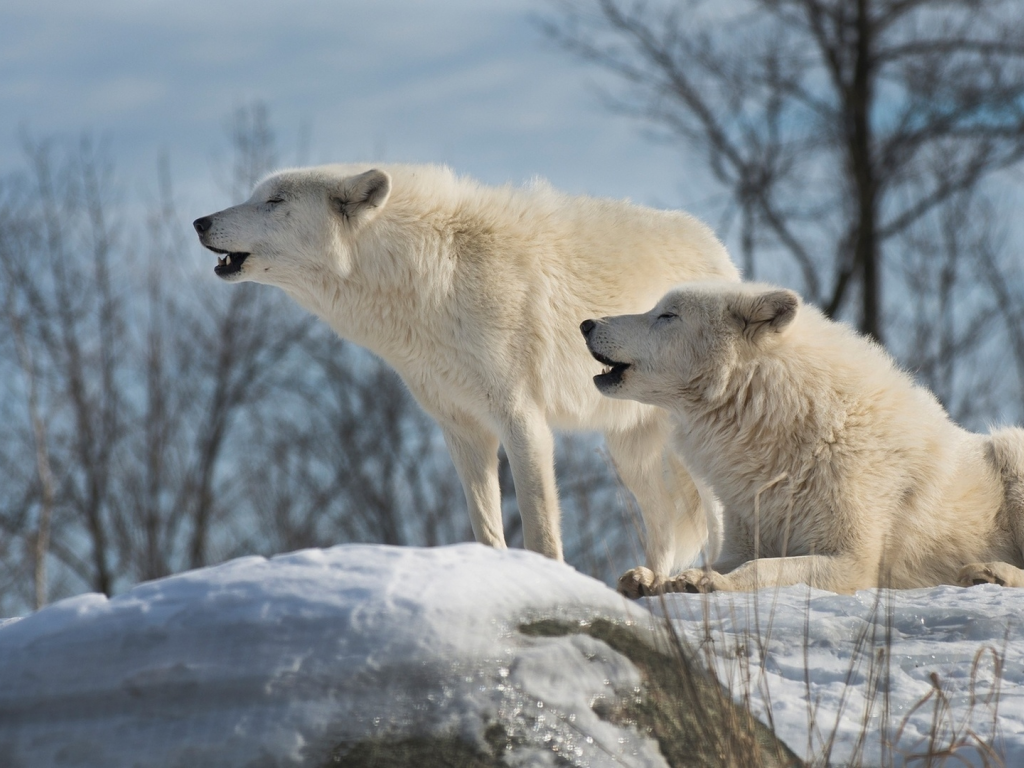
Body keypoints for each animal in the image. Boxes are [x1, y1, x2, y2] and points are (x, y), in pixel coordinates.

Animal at [190, 163, 737, 589]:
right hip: (629, 450)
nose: (199, 221)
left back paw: (706, 579)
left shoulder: (521, 417)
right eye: (256, 197)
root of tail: (717, 248)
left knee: (714, 513)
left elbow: (540, 528)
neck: (432, 278)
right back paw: (652, 581)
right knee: (664, 520)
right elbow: (487, 527)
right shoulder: (462, 428)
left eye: (273, 201)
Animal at [581, 280, 1024, 593]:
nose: (586, 324)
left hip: (1012, 455)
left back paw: (990, 573)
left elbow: (763, 569)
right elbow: (724, 560)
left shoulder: (851, 560)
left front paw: (709, 584)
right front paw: (654, 580)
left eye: (667, 316)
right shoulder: (746, 537)